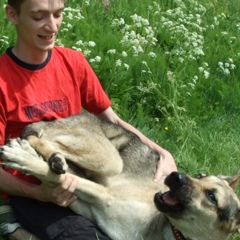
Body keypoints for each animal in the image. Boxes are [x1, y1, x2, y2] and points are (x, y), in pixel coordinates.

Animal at [0, 113, 240, 240]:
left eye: (212, 197)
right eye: (201, 175)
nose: (175, 176)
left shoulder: (90, 203)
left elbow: (55, 180)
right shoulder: (103, 194)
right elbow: (51, 175)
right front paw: (22, 158)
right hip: (108, 159)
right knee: (40, 140)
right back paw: (44, 155)